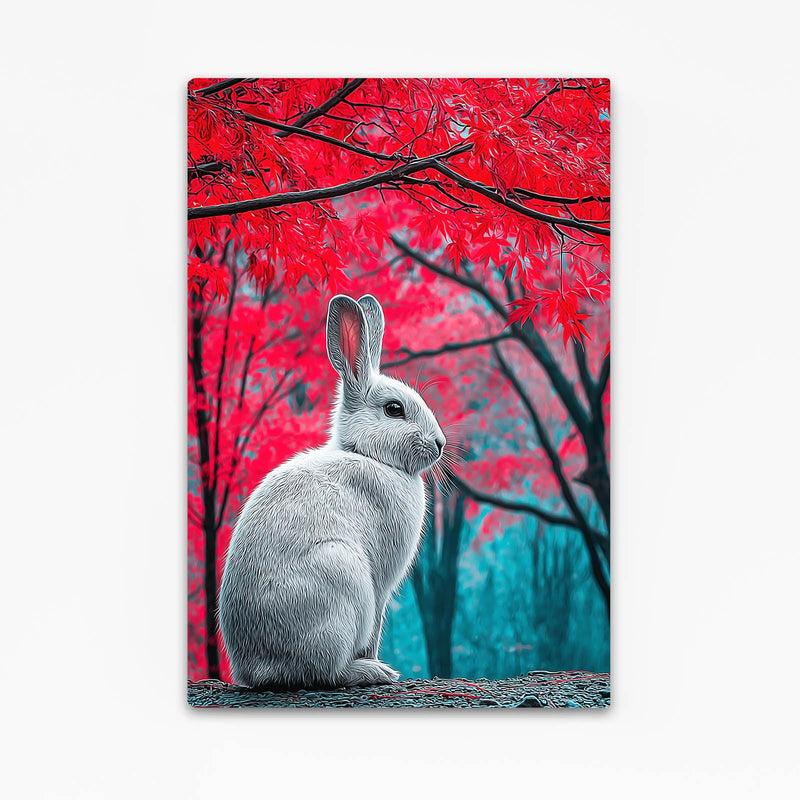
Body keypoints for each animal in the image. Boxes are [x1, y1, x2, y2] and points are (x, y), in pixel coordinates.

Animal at [218, 294, 446, 689]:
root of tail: (258, 670)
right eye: (394, 409)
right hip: (343, 579)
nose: (440, 444)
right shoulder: (379, 586)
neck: (367, 454)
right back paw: (373, 671)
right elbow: (375, 628)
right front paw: (375, 659)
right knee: (325, 671)